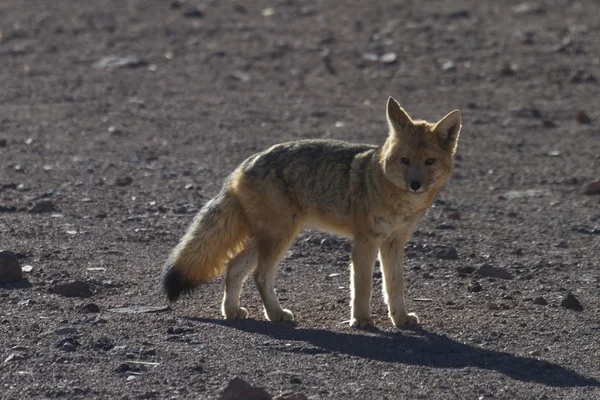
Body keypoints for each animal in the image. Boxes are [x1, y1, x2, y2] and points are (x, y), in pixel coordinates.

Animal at [162, 97, 462, 328]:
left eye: (429, 161)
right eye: (405, 161)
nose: (415, 184)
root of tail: (243, 165)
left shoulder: (394, 243)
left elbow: (394, 286)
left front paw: (400, 319)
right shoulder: (364, 241)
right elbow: (362, 287)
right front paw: (361, 320)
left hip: (269, 238)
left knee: (233, 266)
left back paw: (232, 311)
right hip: (281, 237)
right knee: (260, 275)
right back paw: (275, 314)